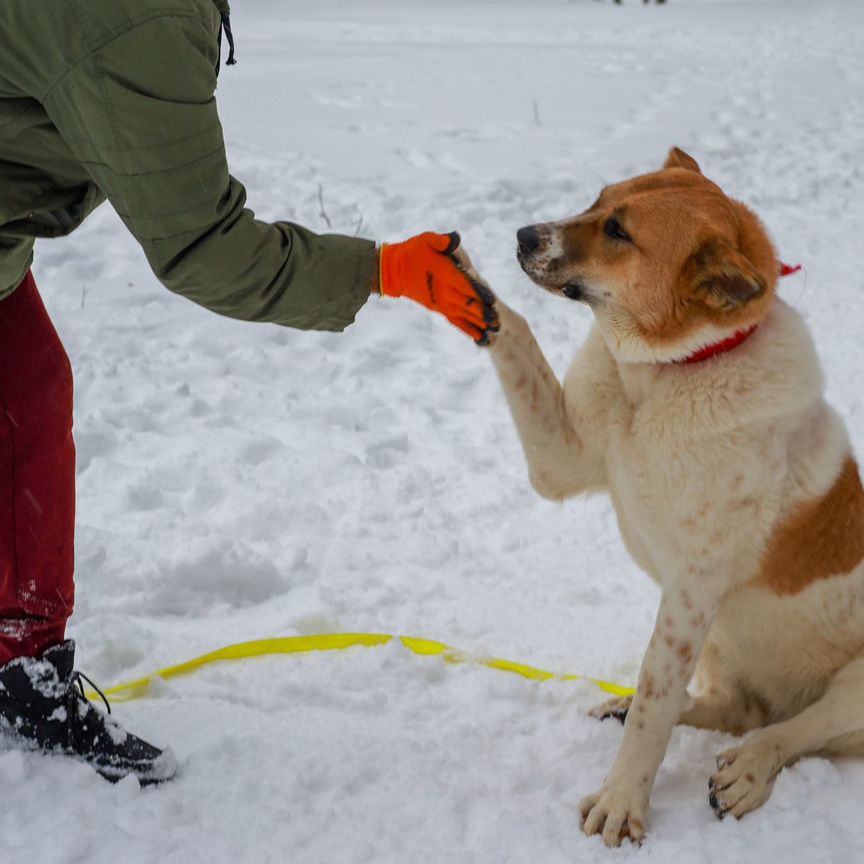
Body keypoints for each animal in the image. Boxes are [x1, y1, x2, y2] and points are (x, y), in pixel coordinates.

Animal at [462, 147, 864, 844]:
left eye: (619, 232)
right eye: (598, 199)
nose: (523, 235)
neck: (662, 377)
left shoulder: (689, 593)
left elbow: (657, 699)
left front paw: (622, 802)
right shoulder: (561, 461)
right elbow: (518, 334)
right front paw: (465, 281)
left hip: (847, 681)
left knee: (792, 730)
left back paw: (748, 770)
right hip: (722, 646)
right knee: (735, 709)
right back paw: (631, 711)